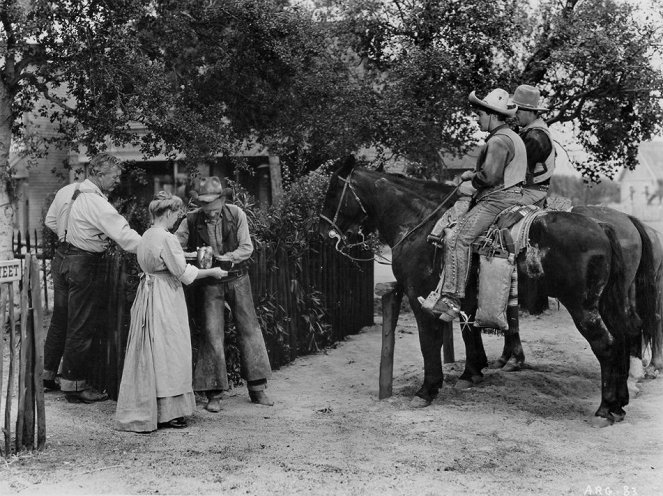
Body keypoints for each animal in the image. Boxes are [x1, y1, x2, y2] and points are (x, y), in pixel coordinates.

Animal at [320, 159, 652, 422]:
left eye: (333, 190)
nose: (325, 231)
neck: (422, 223)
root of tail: (603, 226)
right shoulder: (467, 298)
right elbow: (470, 333)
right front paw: (472, 372)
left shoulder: (419, 299)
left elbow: (430, 344)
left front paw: (427, 390)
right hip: (609, 301)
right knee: (624, 336)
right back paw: (621, 401)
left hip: (583, 306)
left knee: (607, 345)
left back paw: (605, 409)